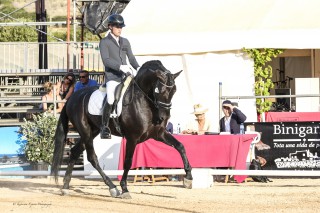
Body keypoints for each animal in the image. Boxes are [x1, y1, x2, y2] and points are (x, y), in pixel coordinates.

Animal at [50, 59, 192, 198]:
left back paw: (65, 187)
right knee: (92, 157)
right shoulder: (132, 138)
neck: (144, 101)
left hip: (93, 131)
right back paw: (112, 188)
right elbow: (128, 162)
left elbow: (180, 146)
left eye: (174, 90)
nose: (164, 117)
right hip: (85, 132)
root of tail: (72, 98)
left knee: (74, 152)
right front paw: (124, 188)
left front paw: (188, 178)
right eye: (158, 90)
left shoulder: (159, 134)